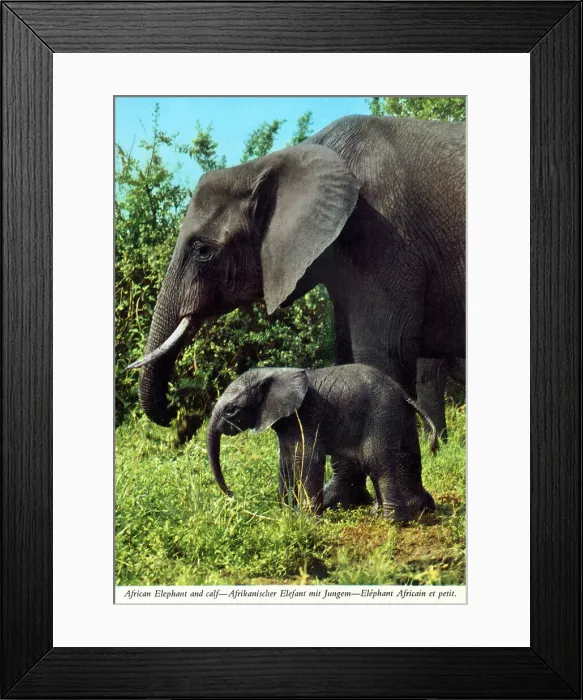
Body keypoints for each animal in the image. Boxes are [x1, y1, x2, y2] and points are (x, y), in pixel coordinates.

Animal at [207, 365, 437, 519]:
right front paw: (285, 512)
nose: (233, 495)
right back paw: (409, 510)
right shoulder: (288, 421)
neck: (273, 373)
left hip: (381, 414)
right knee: (406, 457)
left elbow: (307, 459)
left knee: (376, 462)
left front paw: (306, 519)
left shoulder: (307, 415)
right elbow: (286, 461)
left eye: (231, 410)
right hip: (399, 416)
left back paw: (391, 521)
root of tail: (401, 391)